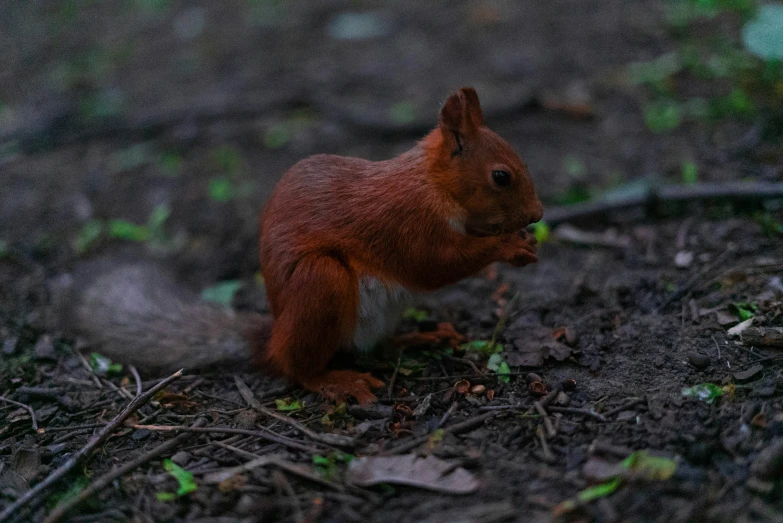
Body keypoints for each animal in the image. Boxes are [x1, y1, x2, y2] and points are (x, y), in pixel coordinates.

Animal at [58, 88, 544, 406]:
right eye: (501, 176)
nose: (538, 215)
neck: (433, 183)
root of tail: (273, 336)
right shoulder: (404, 223)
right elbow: (435, 264)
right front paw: (507, 247)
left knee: (371, 347)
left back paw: (420, 336)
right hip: (320, 284)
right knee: (299, 367)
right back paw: (337, 382)